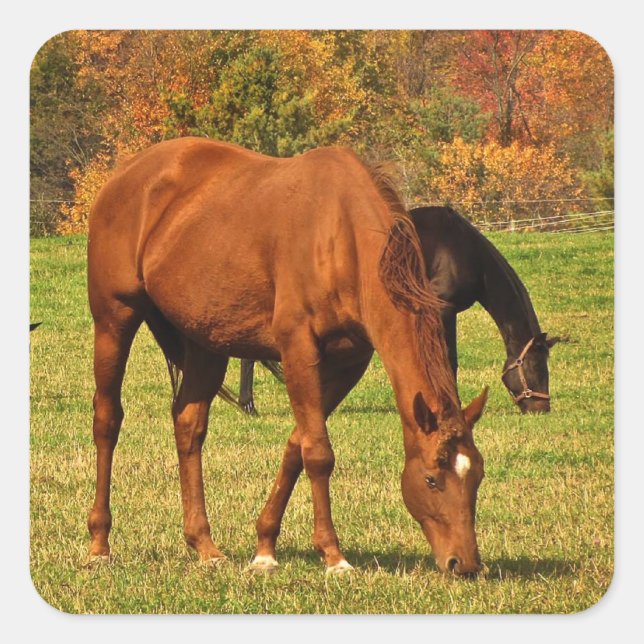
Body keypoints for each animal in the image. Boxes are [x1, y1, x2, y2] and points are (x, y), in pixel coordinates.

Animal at [87, 137, 488, 575]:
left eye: (477, 477)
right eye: (432, 478)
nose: (464, 563)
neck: (340, 236)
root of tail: (124, 175)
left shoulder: (348, 364)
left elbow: (297, 446)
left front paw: (264, 547)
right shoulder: (298, 349)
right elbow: (318, 453)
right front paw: (333, 555)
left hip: (207, 343)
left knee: (188, 425)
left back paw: (204, 545)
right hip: (113, 320)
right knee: (107, 420)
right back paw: (99, 543)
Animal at [230, 206, 561, 415]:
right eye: (536, 366)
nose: (542, 408)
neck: (463, 251)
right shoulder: (444, 309)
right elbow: (448, 360)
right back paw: (249, 406)